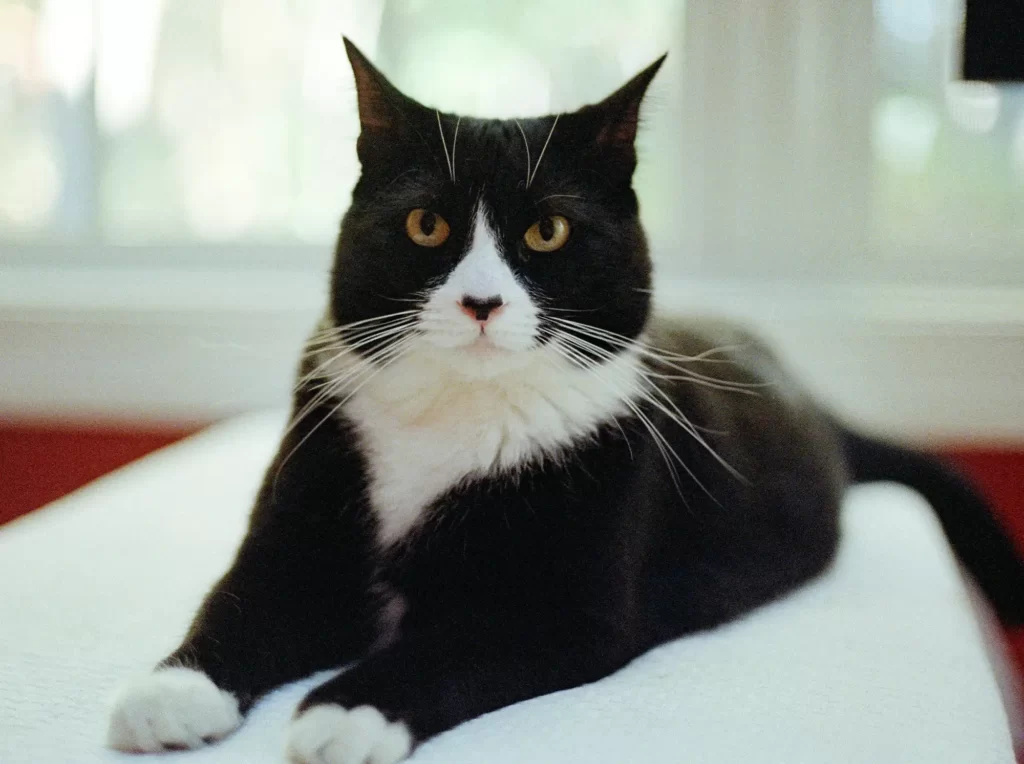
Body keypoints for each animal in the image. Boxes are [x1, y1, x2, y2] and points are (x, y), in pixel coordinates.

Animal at [105, 38, 1024, 757]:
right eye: (427, 225)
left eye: (547, 230)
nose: (481, 301)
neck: (457, 417)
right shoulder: (303, 517)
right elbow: (242, 600)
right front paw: (169, 694)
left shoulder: (574, 606)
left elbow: (456, 643)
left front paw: (344, 711)